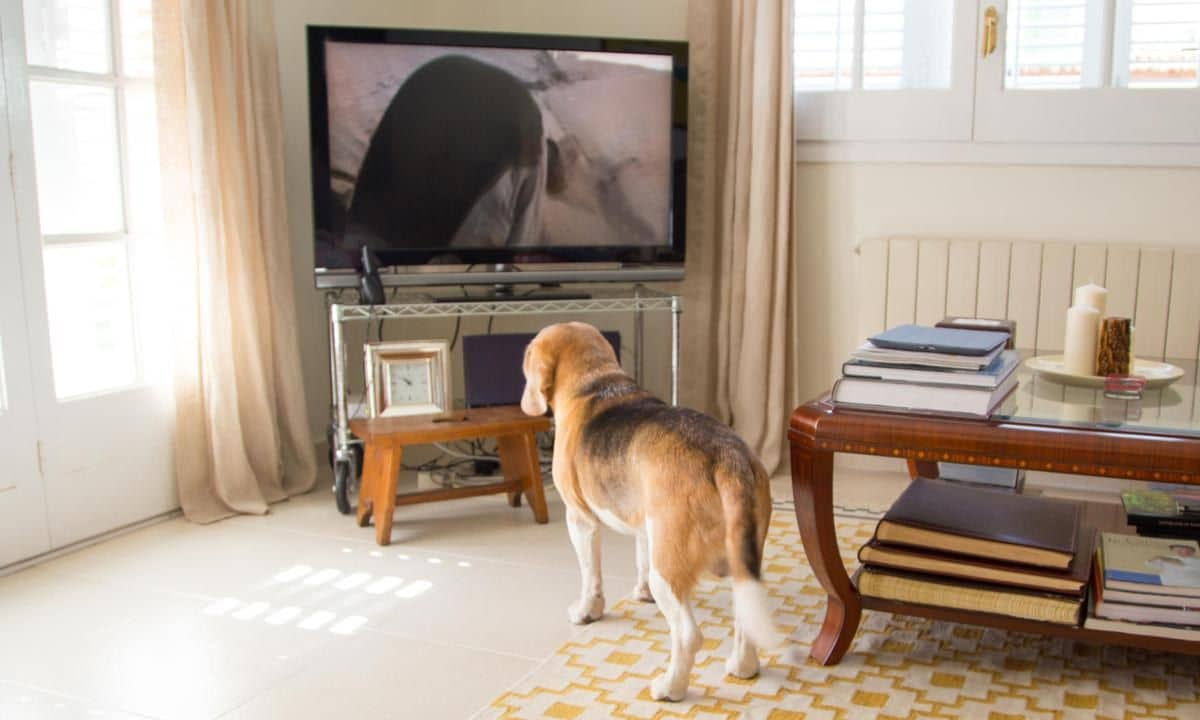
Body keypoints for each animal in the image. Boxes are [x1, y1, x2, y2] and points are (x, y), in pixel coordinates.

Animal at [520, 321, 782, 700]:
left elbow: (590, 575)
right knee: (744, 615)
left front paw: (587, 611)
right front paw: (640, 594)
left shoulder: (580, 520)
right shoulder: (646, 526)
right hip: (741, 558)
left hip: (669, 569)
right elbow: (640, 557)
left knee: (688, 635)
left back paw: (670, 687)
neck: (595, 382)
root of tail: (727, 456)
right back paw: (743, 667)